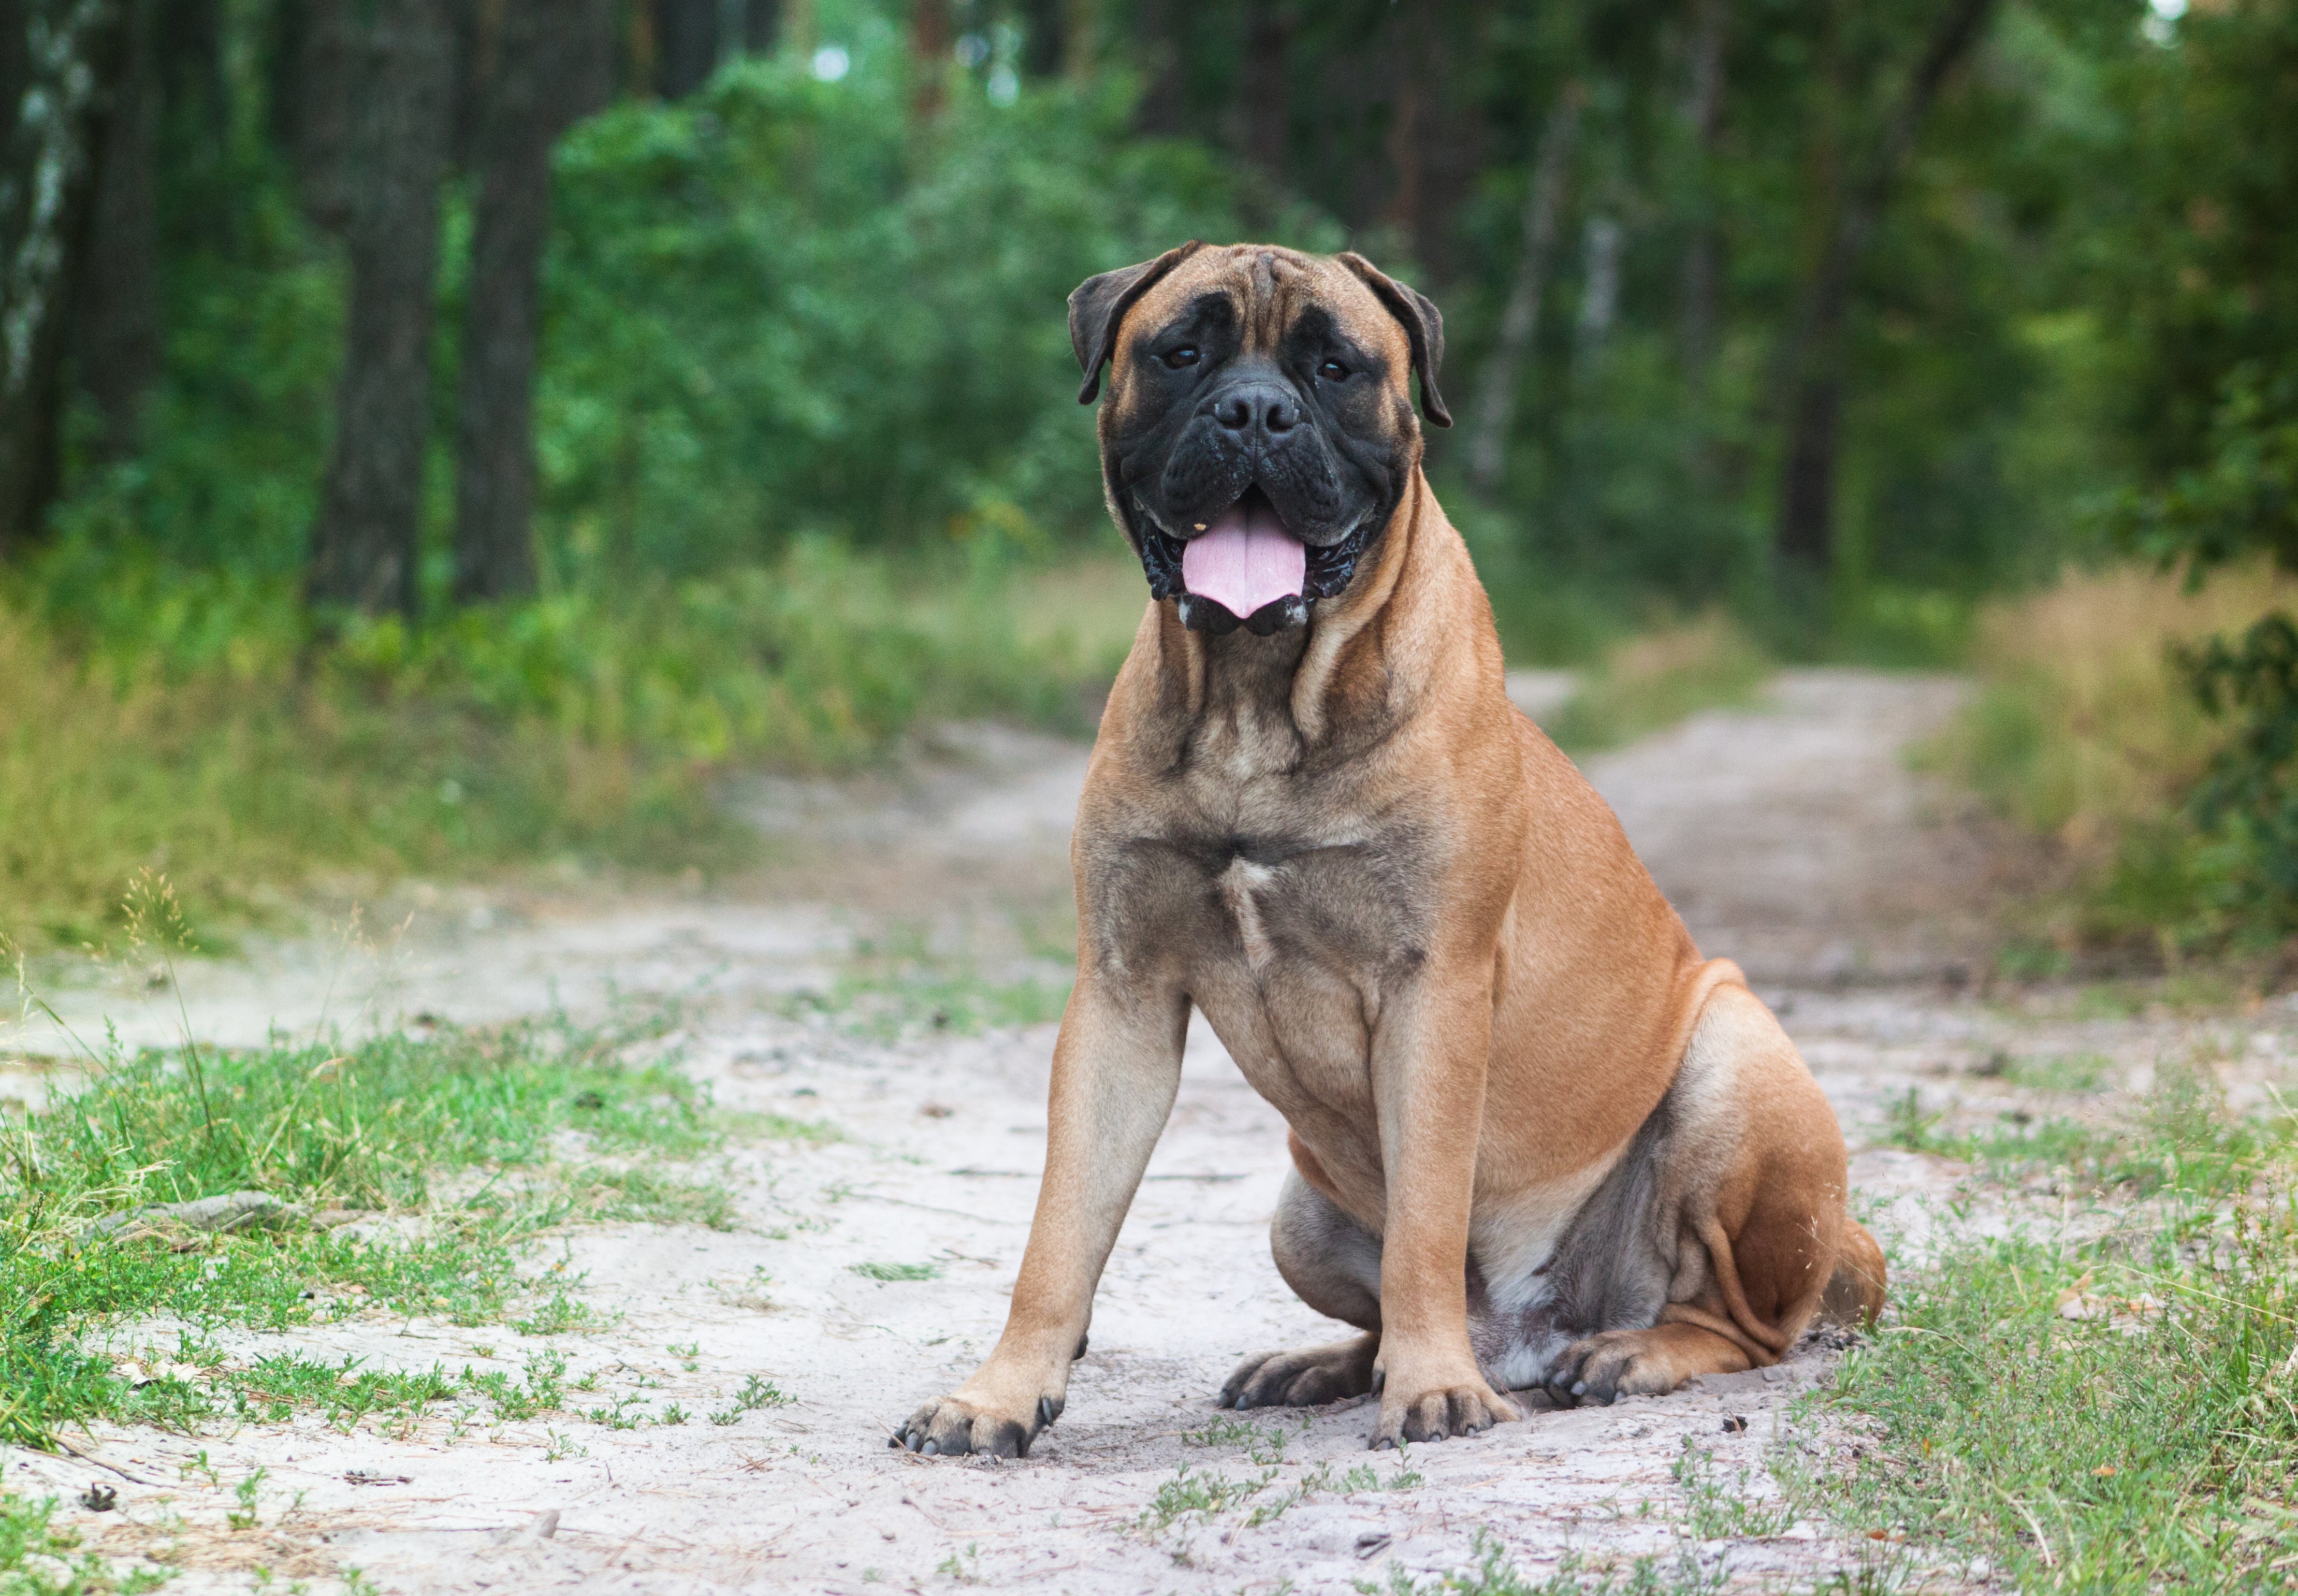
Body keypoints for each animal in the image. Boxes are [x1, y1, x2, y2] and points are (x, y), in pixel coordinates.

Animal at [887, 240, 1875, 1462]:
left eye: (1334, 366)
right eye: (1180, 351)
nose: (1254, 410)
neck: (1254, 703)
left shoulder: (1432, 987)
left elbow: (1425, 1218)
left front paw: (1435, 1389)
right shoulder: (1121, 993)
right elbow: (1058, 1232)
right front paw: (998, 1394)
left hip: (1736, 1063)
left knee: (1747, 1323)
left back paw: (1625, 1353)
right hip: (1297, 1206)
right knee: (1374, 1314)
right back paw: (1321, 1364)